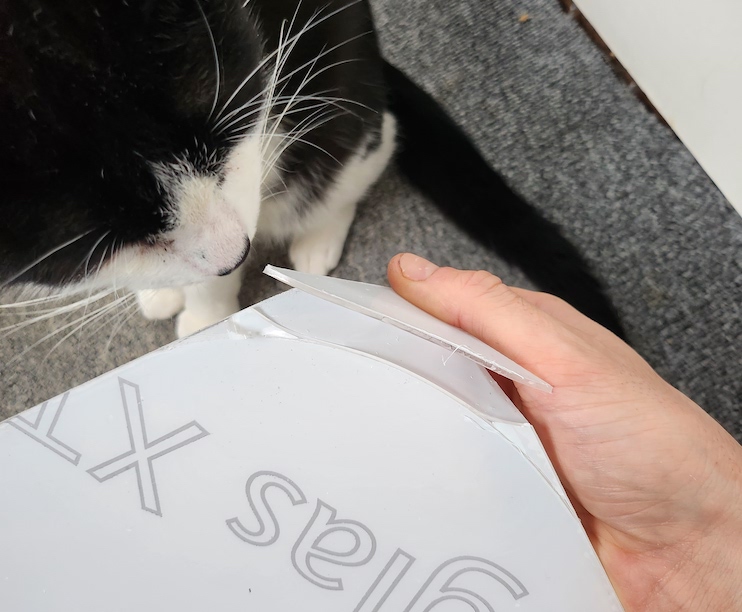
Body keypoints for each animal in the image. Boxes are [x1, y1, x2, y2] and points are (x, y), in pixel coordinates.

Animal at [0, 0, 628, 340]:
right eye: (95, 234)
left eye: (225, 137)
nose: (234, 252)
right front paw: (167, 286)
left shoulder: (262, 122)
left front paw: (207, 312)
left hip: (347, 100)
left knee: (364, 152)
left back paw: (316, 242)